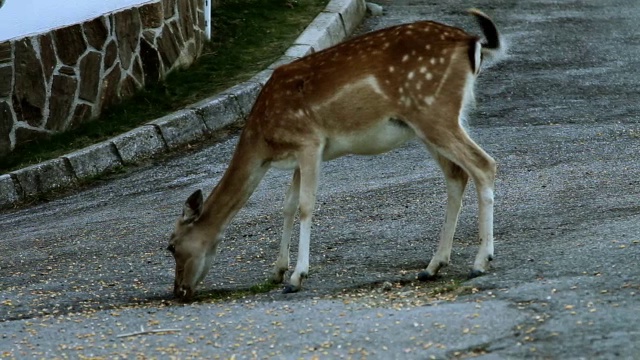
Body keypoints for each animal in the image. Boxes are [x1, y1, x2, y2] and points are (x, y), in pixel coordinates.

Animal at [166, 9, 504, 300]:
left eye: (171, 246)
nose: (179, 290)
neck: (264, 139)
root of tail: (473, 42)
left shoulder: (309, 141)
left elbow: (305, 205)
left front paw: (296, 277)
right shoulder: (299, 155)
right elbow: (287, 206)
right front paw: (277, 271)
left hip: (434, 112)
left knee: (484, 165)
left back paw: (480, 261)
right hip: (431, 122)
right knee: (457, 175)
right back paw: (433, 266)